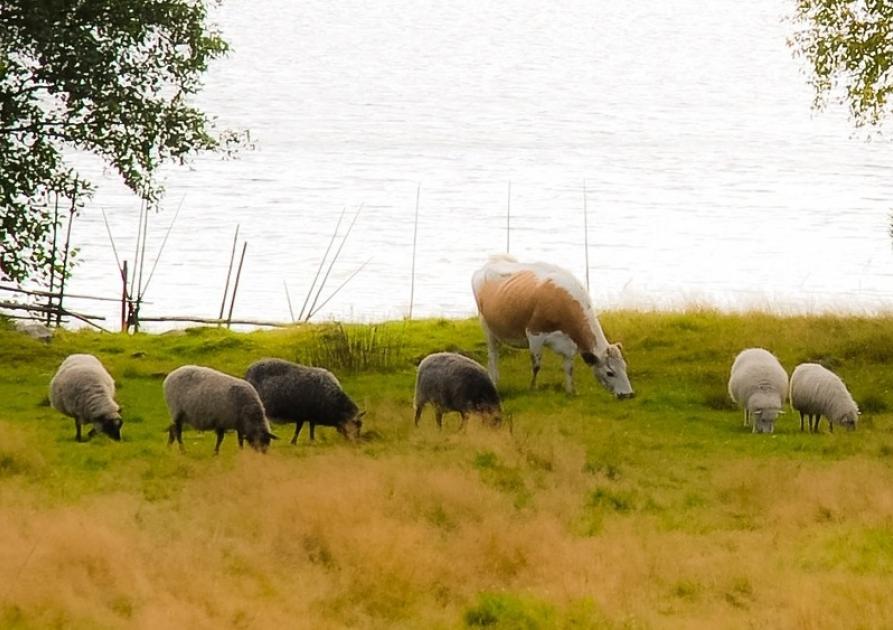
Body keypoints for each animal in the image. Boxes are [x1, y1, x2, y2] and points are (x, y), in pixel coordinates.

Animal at [470, 254, 632, 398]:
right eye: (610, 373)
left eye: (625, 367)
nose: (628, 395)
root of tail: (494, 261)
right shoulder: (534, 334)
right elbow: (536, 365)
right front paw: (533, 388)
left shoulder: (570, 344)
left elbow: (569, 368)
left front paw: (570, 391)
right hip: (486, 325)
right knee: (493, 355)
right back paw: (493, 380)